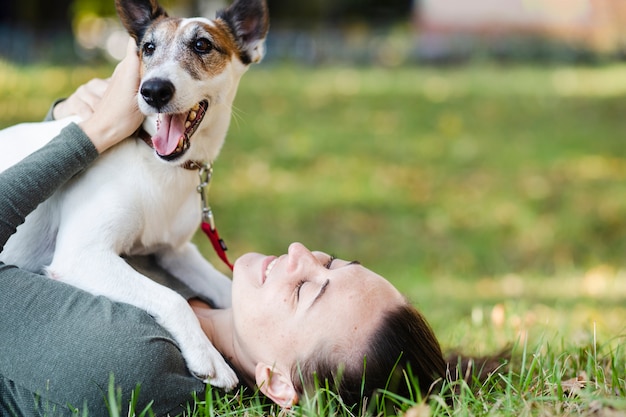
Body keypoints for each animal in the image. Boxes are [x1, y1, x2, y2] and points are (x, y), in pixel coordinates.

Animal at [0, 0, 266, 386]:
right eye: (148, 48)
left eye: (202, 45)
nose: (153, 91)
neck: (157, 165)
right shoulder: (82, 255)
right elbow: (173, 298)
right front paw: (208, 355)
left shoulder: (174, 251)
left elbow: (225, 287)